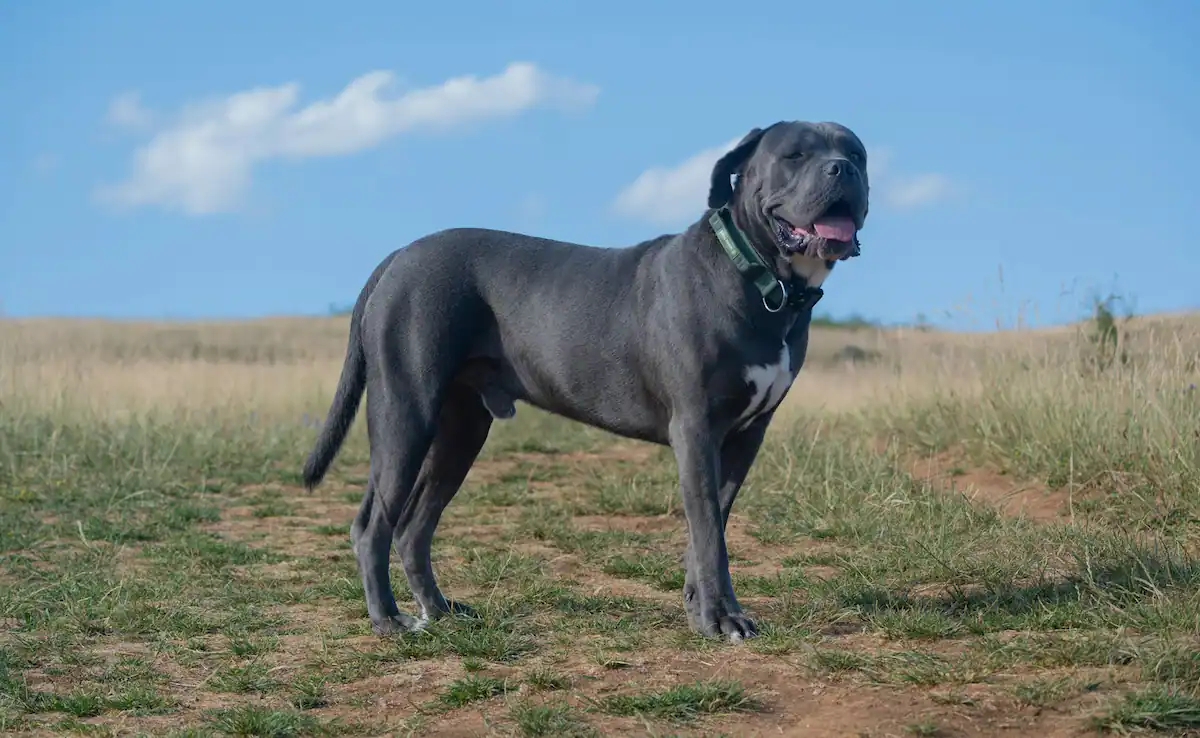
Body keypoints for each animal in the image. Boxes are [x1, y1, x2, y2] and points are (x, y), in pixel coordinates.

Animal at [298, 121, 864, 643]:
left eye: (856, 152)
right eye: (794, 155)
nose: (843, 170)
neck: (758, 277)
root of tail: (399, 256)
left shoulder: (747, 435)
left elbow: (713, 525)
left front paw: (698, 604)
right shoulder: (697, 429)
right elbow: (707, 530)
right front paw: (720, 618)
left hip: (461, 429)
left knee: (414, 525)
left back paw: (438, 611)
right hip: (405, 414)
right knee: (373, 524)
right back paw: (387, 619)